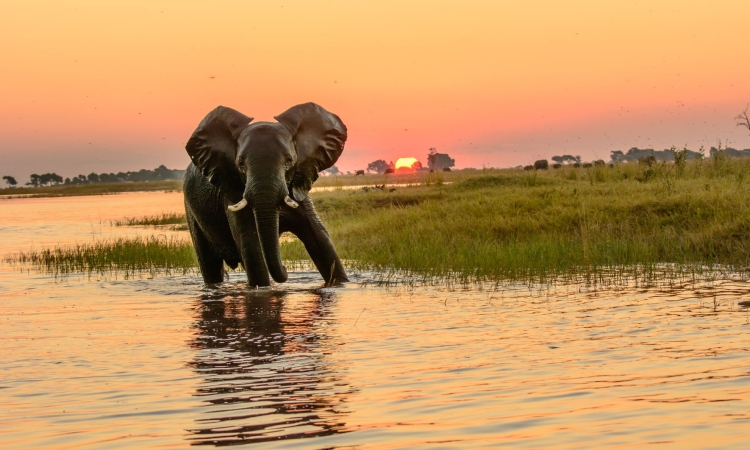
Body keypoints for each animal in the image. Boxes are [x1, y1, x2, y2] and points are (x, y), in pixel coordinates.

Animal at [182, 102, 350, 286]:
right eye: (241, 165)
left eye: (289, 162)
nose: (285, 269)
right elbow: (251, 249)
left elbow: (321, 240)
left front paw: (340, 284)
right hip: (191, 211)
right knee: (209, 264)